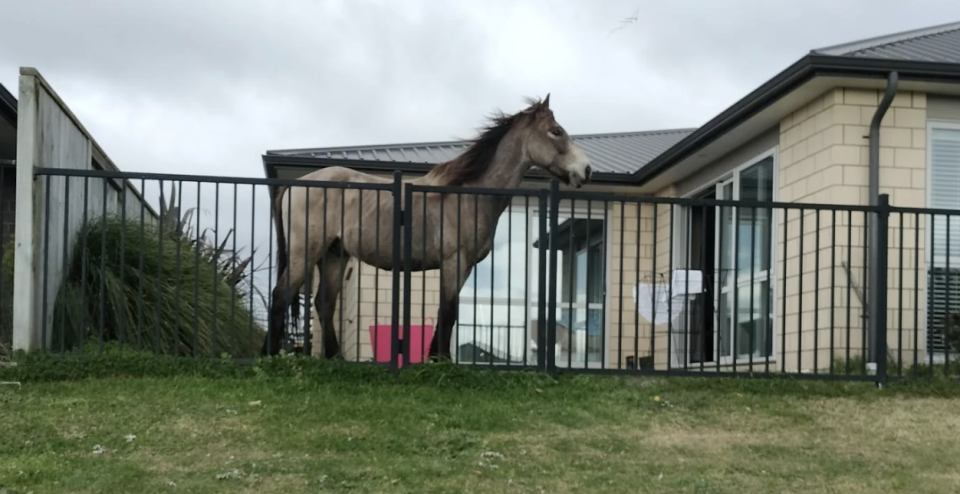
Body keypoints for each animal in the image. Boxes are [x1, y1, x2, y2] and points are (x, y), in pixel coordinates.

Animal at [262, 94, 592, 360]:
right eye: (556, 132)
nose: (586, 170)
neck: (468, 194)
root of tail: (295, 185)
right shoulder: (454, 261)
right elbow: (448, 311)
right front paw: (441, 360)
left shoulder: (463, 266)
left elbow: (448, 311)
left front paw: (435, 356)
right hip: (306, 252)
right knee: (281, 295)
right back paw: (270, 356)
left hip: (334, 255)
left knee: (324, 303)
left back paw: (335, 358)